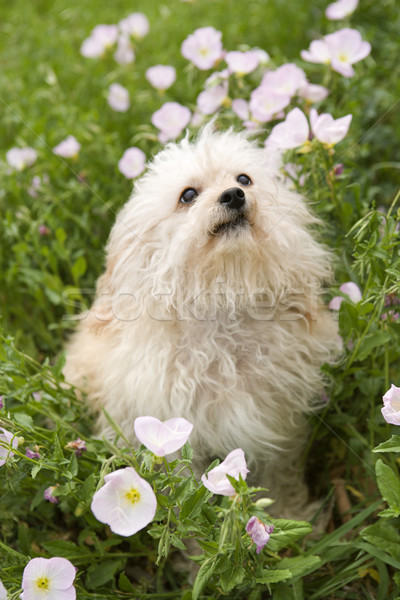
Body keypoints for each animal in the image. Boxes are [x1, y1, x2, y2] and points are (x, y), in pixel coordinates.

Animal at [64, 125, 340, 520]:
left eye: (244, 179)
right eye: (189, 195)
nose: (234, 195)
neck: (223, 307)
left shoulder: (276, 428)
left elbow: (280, 481)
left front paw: (292, 518)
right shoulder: (171, 439)